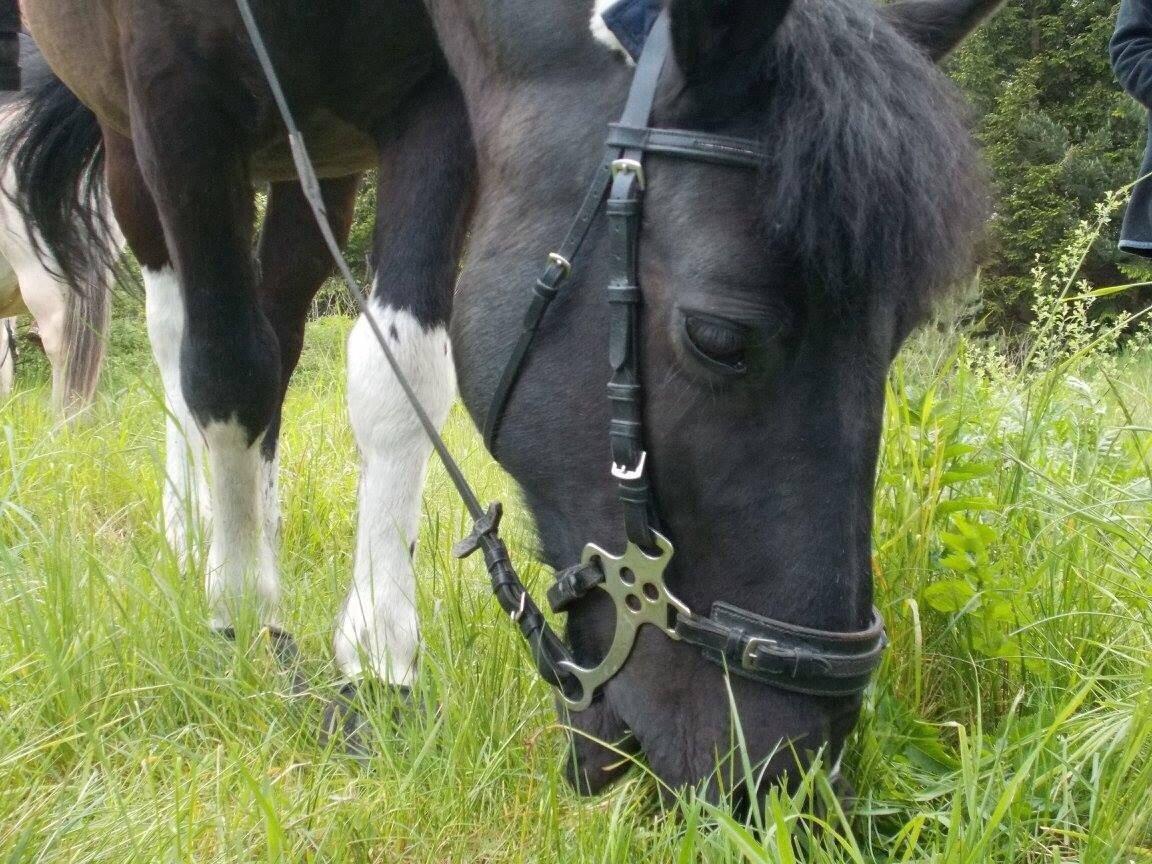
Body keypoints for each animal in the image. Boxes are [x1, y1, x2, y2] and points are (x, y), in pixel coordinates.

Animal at [13, 0, 1000, 803]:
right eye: (721, 337)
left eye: (901, 333)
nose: (793, 768)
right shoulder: (175, 97)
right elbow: (224, 372)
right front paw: (248, 625)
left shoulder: (435, 106)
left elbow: (399, 373)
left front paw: (375, 666)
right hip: (134, 147)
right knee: (183, 336)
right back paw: (195, 532)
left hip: (315, 163)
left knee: (282, 328)